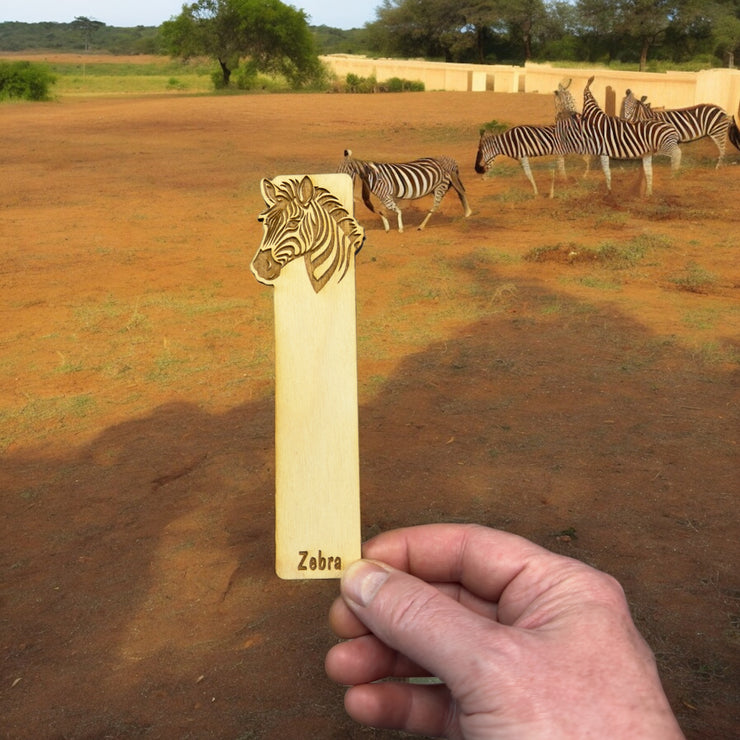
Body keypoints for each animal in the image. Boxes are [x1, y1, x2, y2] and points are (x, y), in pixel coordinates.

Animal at [338, 150, 472, 231]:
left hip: (440, 186)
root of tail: (447, 160)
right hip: (440, 186)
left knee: (436, 205)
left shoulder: (386, 194)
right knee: (460, 193)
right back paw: (467, 213)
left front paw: (399, 227)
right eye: (337, 170)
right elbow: (381, 210)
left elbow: (390, 210)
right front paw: (387, 226)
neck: (372, 176)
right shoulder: (384, 196)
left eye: (344, 171)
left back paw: (421, 226)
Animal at [556, 76, 684, 195]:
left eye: (562, 98)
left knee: (677, 153)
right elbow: (605, 169)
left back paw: (674, 172)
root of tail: (671, 127)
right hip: (653, 150)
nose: (558, 115)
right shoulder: (601, 149)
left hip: (664, 146)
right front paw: (608, 189)